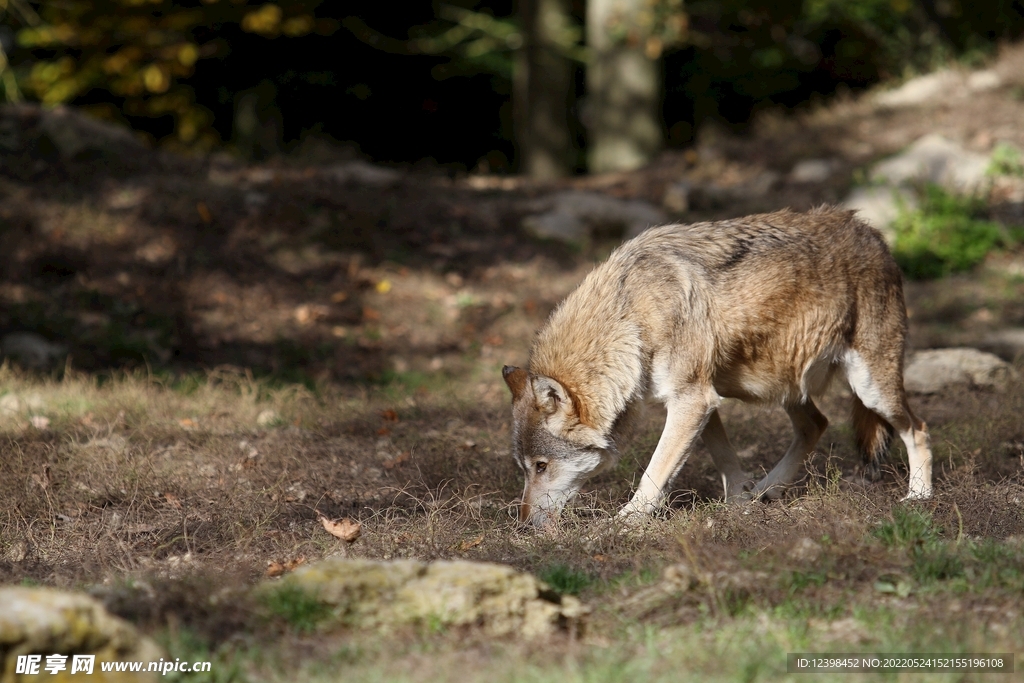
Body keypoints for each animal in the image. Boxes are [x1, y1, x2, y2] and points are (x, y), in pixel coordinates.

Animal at [499, 208, 933, 528]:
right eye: (524, 469)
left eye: (541, 467)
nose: (522, 524)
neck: (631, 314)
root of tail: (873, 233)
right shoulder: (698, 400)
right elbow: (724, 458)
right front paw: (740, 501)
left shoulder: (692, 399)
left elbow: (654, 473)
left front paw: (624, 522)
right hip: (782, 386)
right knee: (816, 424)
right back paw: (767, 490)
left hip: (870, 388)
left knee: (918, 427)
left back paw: (919, 496)